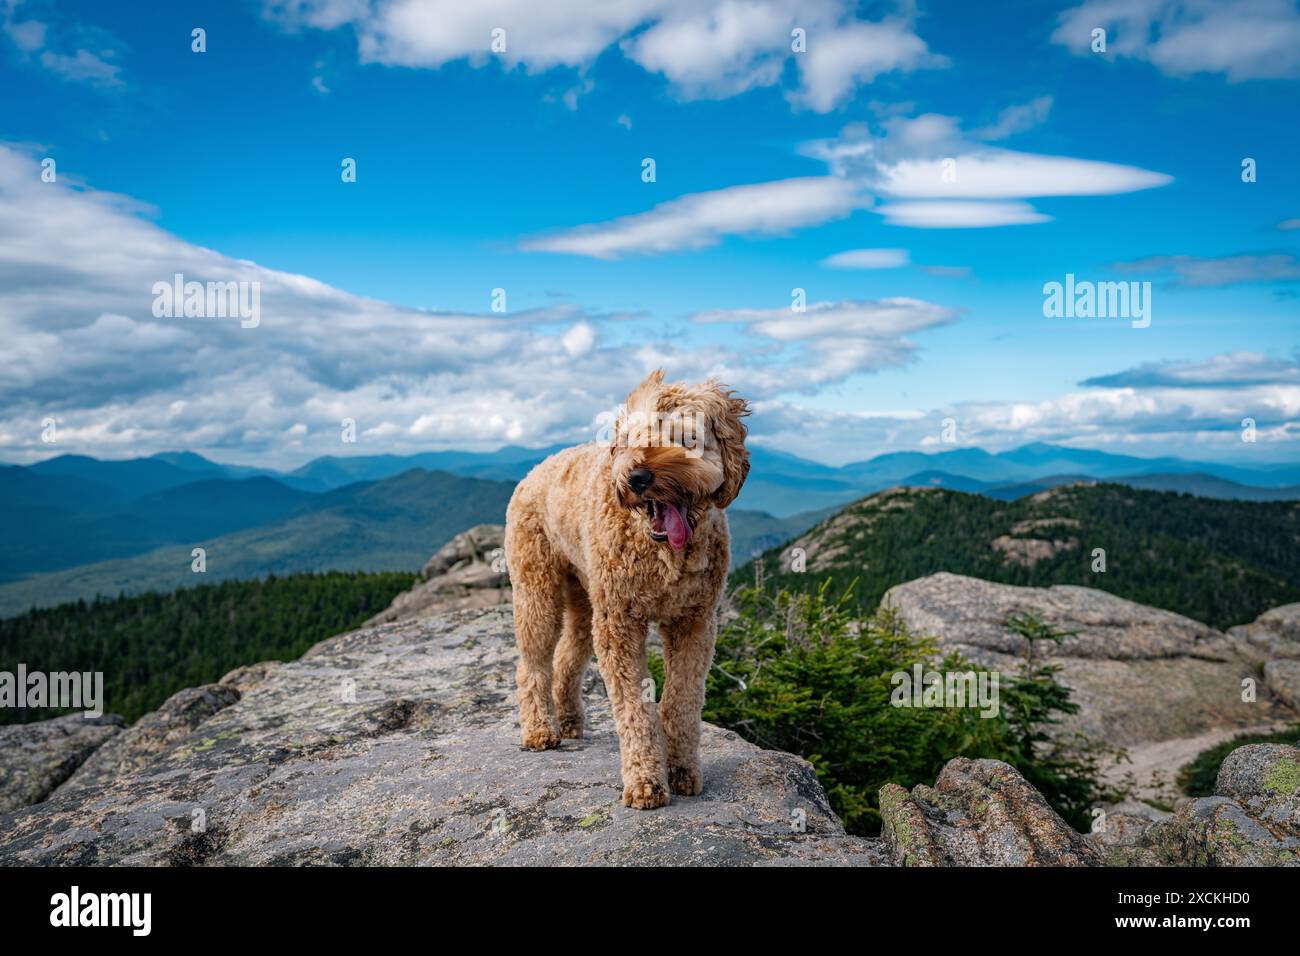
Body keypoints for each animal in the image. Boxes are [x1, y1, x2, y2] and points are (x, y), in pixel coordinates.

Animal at [506, 369, 754, 806]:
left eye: (686, 437)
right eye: (635, 438)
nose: (638, 477)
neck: (662, 553)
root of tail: (537, 466)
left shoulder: (695, 622)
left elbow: (681, 701)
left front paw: (682, 769)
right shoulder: (621, 624)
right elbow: (634, 706)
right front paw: (645, 781)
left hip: (586, 600)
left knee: (568, 656)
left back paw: (568, 718)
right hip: (538, 589)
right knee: (532, 663)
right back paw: (540, 729)